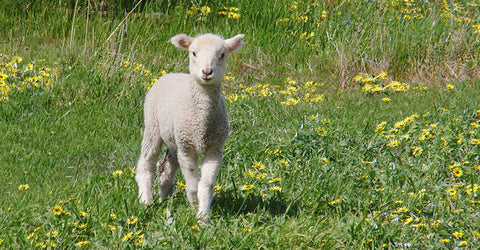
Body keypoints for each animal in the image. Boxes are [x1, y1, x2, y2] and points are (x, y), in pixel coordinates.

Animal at [136, 32, 246, 225]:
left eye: (222, 55)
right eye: (193, 53)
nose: (207, 72)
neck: (202, 125)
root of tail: (169, 74)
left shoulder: (215, 149)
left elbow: (206, 186)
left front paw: (203, 219)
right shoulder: (187, 149)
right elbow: (194, 185)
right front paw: (195, 207)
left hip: (176, 138)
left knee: (166, 166)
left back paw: (165, 197)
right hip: (153, 125)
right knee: (146, 163)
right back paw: (146, 201)